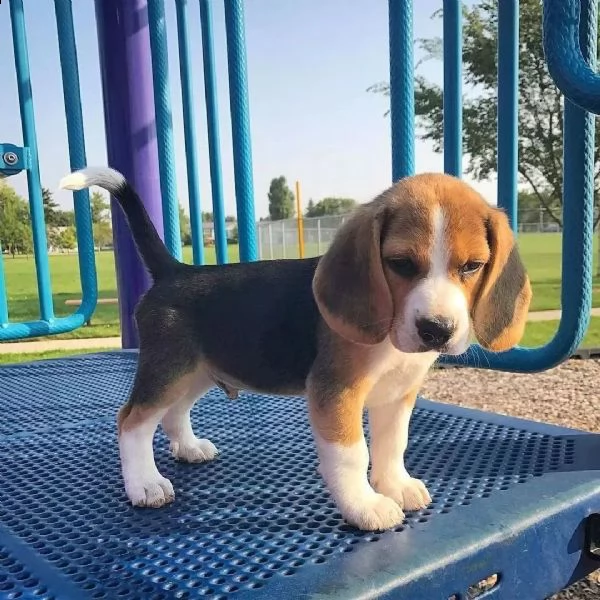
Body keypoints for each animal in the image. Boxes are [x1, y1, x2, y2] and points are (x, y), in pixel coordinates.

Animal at [59, 168, 528, 528]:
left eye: (472, 266)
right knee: (131, 422)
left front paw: (395, 485)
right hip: (167, 369)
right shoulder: (335, 393)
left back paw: (188, 448)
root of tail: (176, 271)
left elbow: (393, 444)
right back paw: (144, 484)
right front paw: (365, 506)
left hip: (197, 371)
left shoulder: (397, 395)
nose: (437, 329)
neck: (391, 339)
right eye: (400, 264)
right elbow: (353, 455)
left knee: (174, 413)